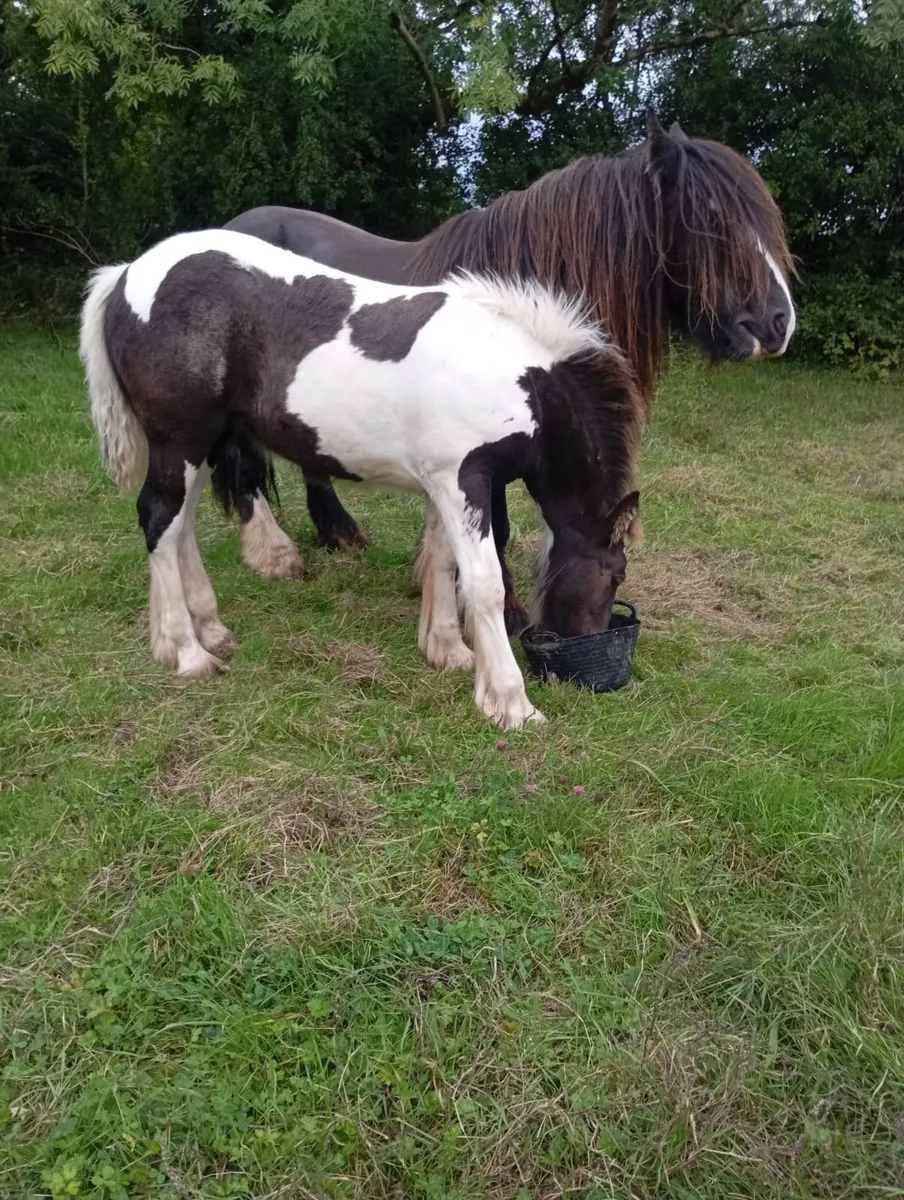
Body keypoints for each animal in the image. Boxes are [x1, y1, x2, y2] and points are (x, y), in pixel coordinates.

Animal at [79, 229, 643, 729]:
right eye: (615, 574)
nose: (584, 665)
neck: (517, 381)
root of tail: (124, 275)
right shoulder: (465, 480)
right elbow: (484, 583)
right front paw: (511, 703)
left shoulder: (443, 483)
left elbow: (442, 561)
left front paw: (447, 651)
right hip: (180, 441)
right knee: (159, 519)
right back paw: (186, 652)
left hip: (204, 443)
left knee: (180, 527)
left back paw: (209, 631)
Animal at [219, 112, 796, 633]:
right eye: (713, 221)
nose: (778, 322)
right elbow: (495, 530)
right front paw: (508, 612)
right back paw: (276, 553)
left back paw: (339, 534)